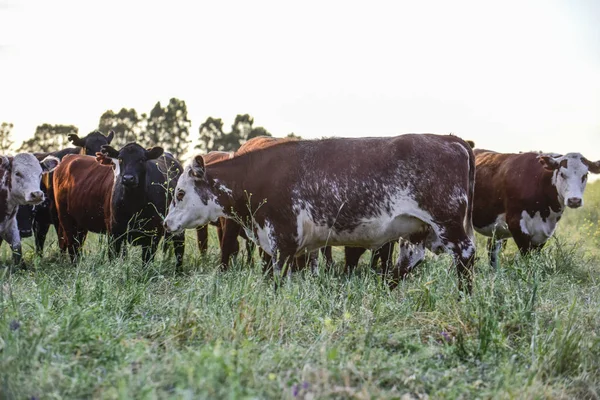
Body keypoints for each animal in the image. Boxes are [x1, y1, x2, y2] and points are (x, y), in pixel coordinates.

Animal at [52, 142, 184, 268]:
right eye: (121, 159)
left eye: (141, 159)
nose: (128, 178)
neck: (134, 204)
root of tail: (68, 158)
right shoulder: (114, 232)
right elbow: (113, 257)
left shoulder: (153, 234)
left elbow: (146, 261)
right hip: (67, 220)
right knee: (72, 247)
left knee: (179, 250)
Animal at [164, 134, 478, 290]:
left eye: (179, 193)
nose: (167, 223)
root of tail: (451, 140)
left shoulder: (283, 239)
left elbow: (277, 280)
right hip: (415, 230)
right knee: (407, 261)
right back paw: (384, 293)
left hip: (448, 223)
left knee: (465, 255)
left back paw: (463, 296)